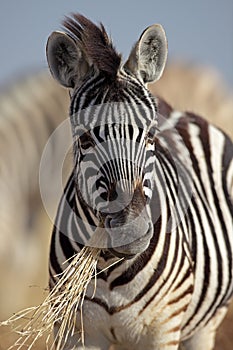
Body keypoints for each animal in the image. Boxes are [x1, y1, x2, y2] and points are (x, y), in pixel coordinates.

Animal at [46, 13, 232, 350]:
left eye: (150, 136)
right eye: (84, 140)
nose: (129, 232)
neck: (110, 266)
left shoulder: (162, 329)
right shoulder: (74, 329)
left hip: (207, 322)